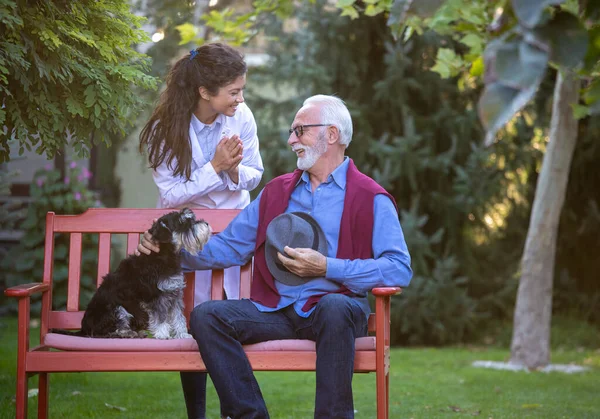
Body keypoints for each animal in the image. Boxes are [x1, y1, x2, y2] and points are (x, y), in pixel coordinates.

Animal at [66, 208, 210, 340]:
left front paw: (182, 334)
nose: (206, 224)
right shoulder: (157, 297)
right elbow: (161, 317)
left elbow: (178, 317)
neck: (162, 255)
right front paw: (162, 334)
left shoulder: (174, 295)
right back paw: (127, 333)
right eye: (182, 222)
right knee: (105, 332)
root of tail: (83, 329)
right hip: (117, 309)